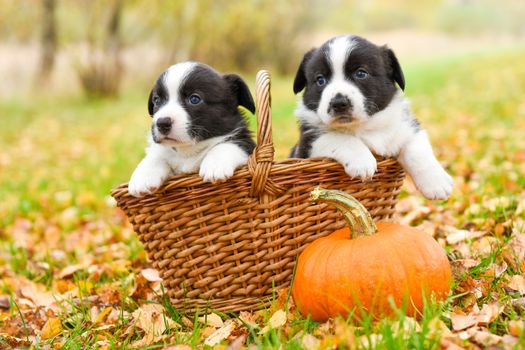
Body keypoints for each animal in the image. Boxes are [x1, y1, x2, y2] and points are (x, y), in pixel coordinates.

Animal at [129, 60, 256, 197]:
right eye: (157, 100)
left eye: (194, 99)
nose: (162, 122)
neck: (188, 151)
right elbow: (155, 156)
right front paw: (142, 177)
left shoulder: (246, 142)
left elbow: (227, 145)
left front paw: (215, 165)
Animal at [288, 36, 452, 201]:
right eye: (320, 80)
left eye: (361, 73)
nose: (339, 103)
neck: (364, 127)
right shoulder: (307, 145)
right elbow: (338, 137)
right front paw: (362, 161)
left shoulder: (407, 127)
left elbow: (418, 149)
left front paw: (437, 182)